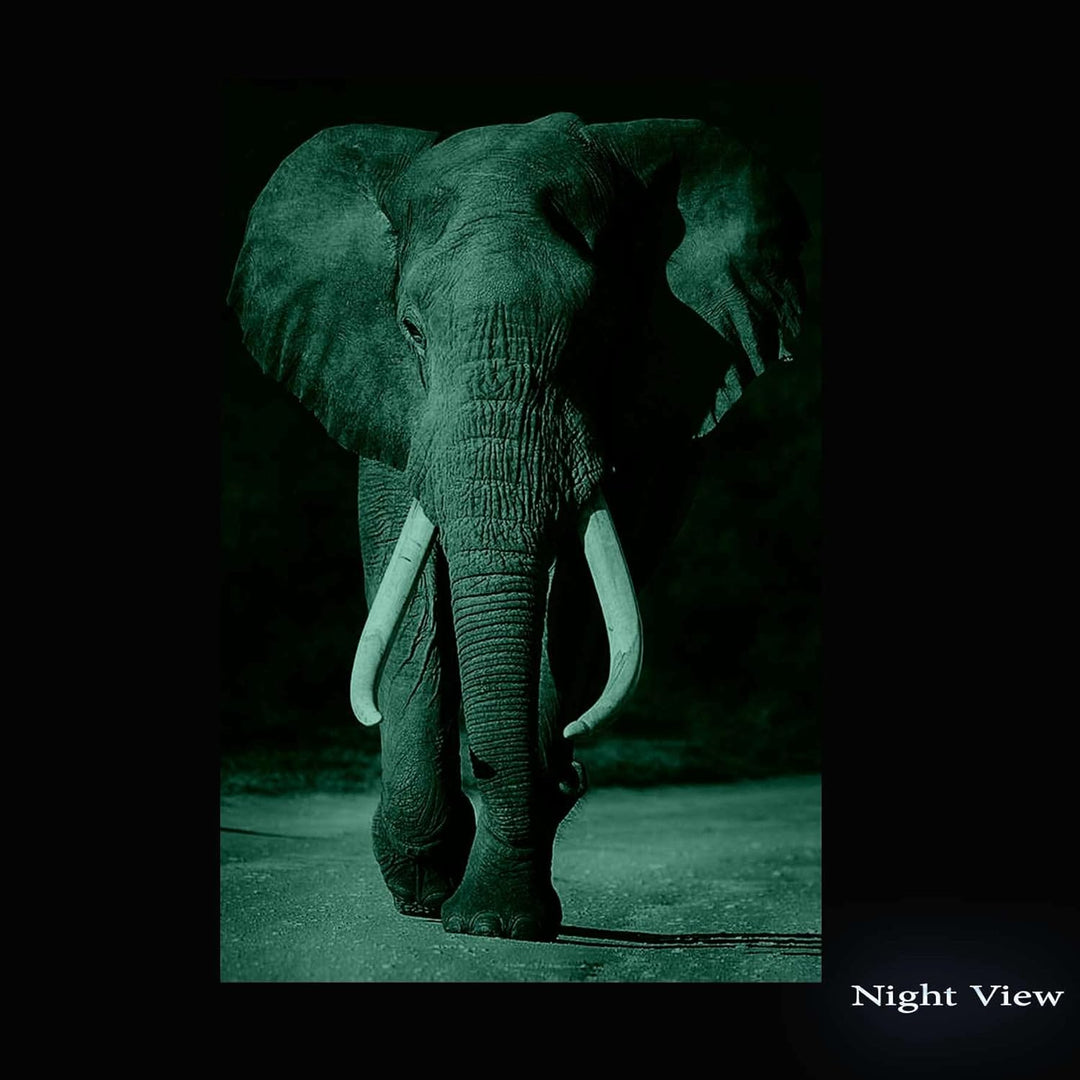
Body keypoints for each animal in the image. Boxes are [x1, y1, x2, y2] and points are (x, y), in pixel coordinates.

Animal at [228, 111, 808, 941]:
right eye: (410, 329)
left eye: (597, 331)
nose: (566, 769)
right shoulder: (385, 395)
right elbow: (410, 593)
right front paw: (429, 888)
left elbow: (574, 609)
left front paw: (495, 918)